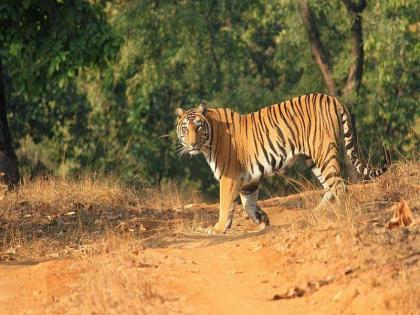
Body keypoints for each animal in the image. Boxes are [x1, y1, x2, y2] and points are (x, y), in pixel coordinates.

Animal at [175, 94, 388, 235]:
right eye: (185, 128)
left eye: (198, 127)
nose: (192, 144)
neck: (209, 138)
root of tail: (330, 97)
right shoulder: (247, 180)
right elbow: (248, 204)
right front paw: (262, 219)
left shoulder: (229, 177)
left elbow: (225, 204)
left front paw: (218, 228)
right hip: (314, 159)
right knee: (330, 186)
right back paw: (316, 212)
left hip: (323, 152)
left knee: (339, 185)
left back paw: (341, 213)